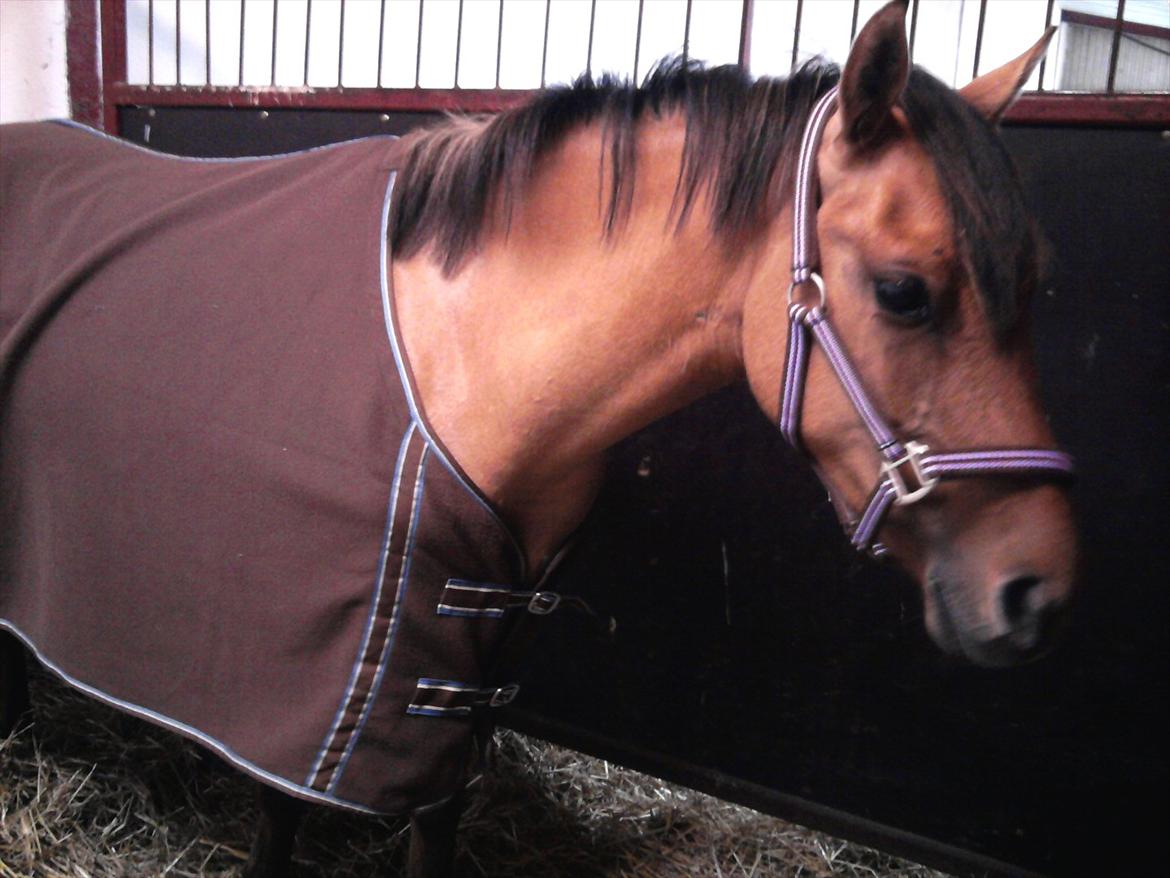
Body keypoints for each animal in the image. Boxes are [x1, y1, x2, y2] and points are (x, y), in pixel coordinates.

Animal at [0, 1, 1076, 874]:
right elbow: (279, 817)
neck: (469, 354)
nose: (1037, 591)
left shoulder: (464, 657)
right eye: (903, 291)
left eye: (1035, 284)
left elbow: (437, 823)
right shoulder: (299, 666)